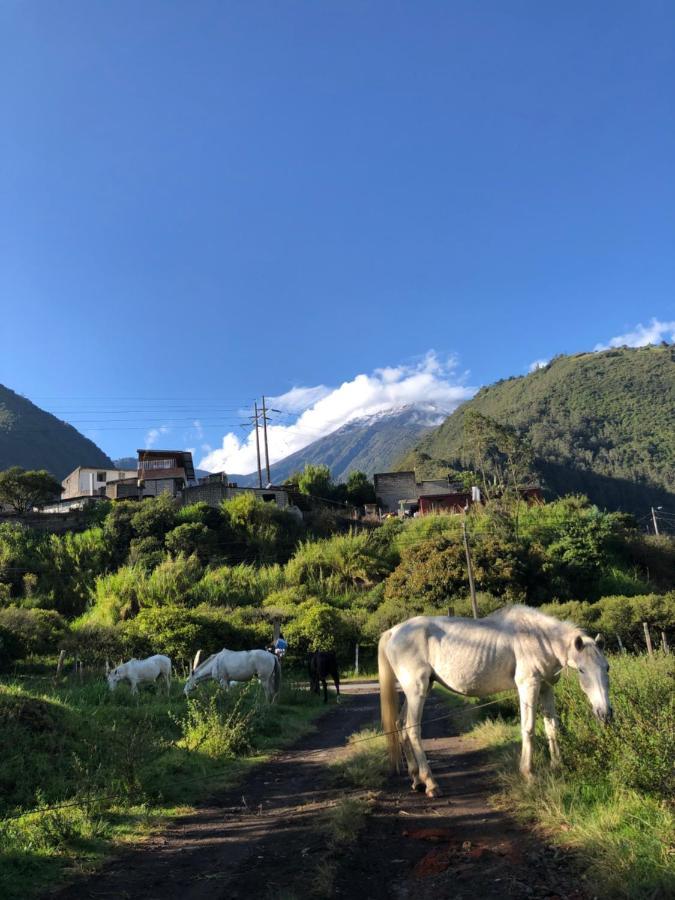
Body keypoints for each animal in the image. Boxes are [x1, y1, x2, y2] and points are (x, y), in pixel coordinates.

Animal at [380, 604, 612, 796]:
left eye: (607, 667)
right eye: (582, 670)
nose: (605, 714)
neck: (538, 638)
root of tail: (394, 631)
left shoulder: (546, 688)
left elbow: (551, 727)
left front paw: (557, 766)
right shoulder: (528, 685)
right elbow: (528, 728)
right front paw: (528, 773)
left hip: (420, 689)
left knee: (401, 725)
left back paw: (417, 780)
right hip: (416, 690)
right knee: (412, 729)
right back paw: (431, 784)